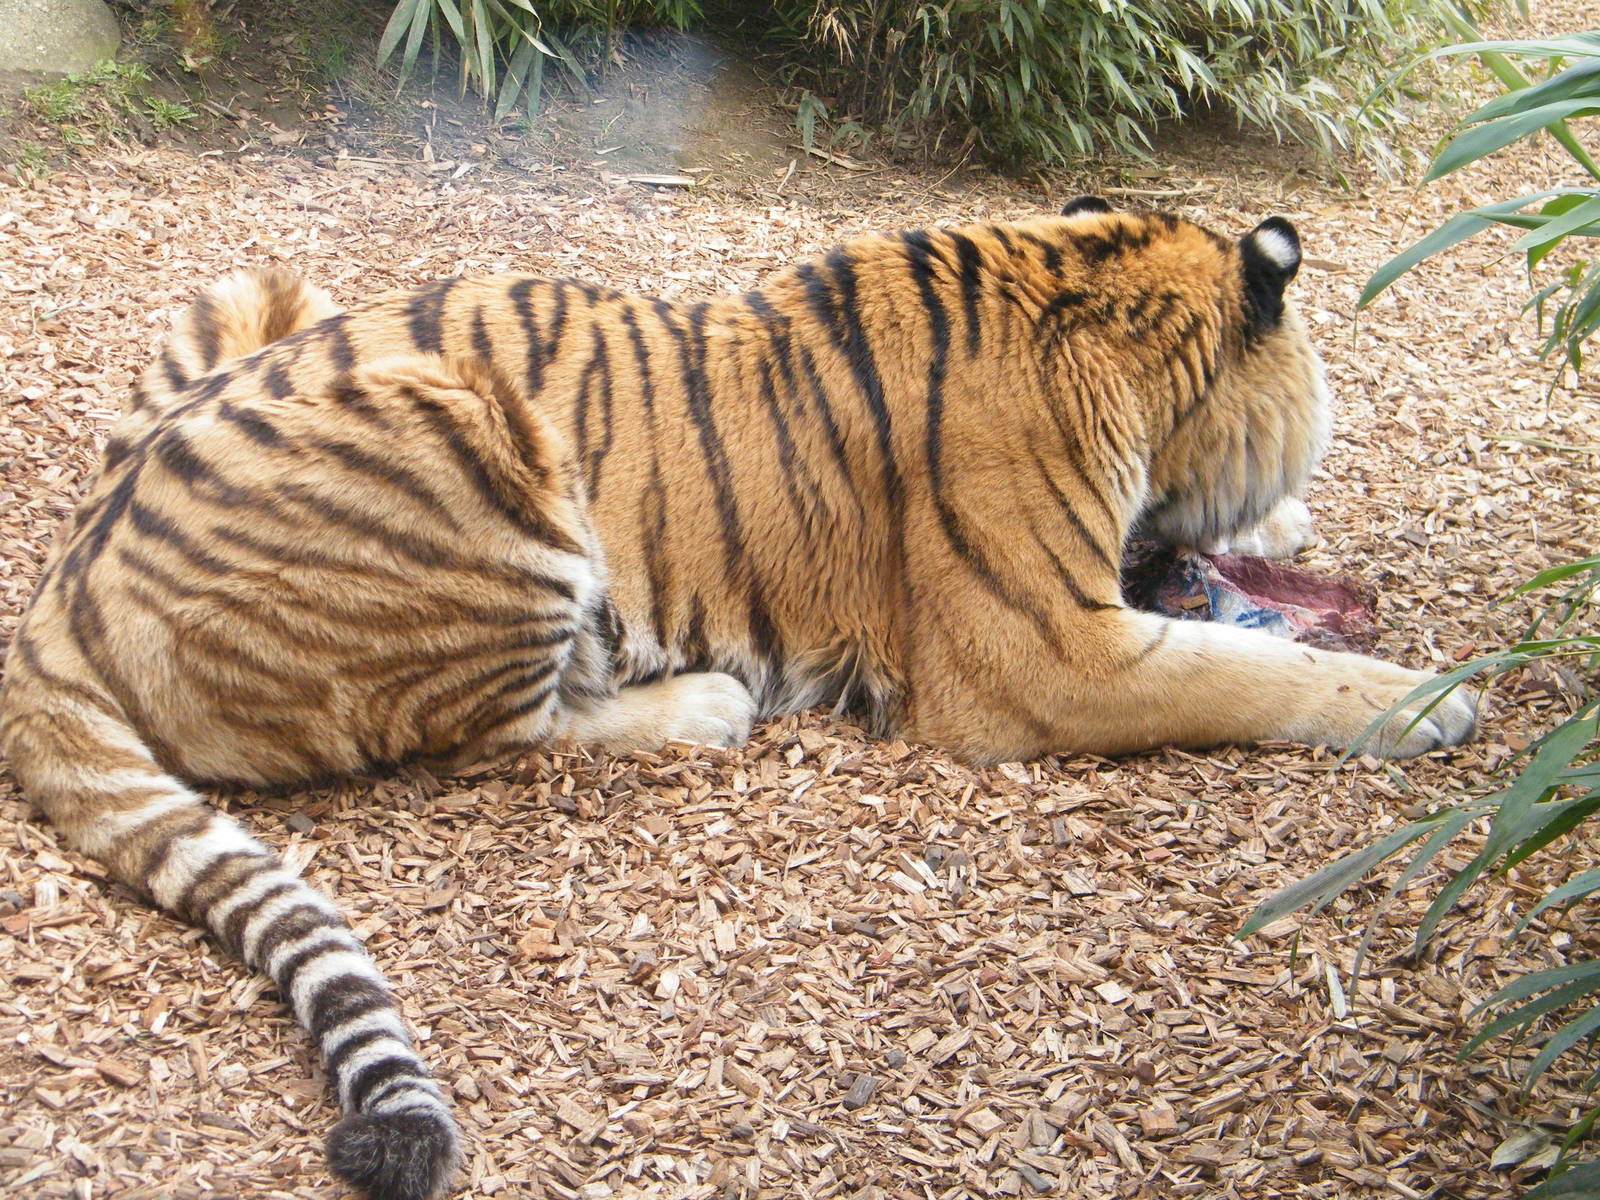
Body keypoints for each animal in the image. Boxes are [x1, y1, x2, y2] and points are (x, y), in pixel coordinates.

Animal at [0, 197, 1477, 1199]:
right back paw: (701, 704)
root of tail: (62, 586)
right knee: (496, 735)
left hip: (284, 295)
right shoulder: (1048, 655)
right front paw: (1432, 702)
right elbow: (1254, 670)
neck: (1099, 287)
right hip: (473, 453)